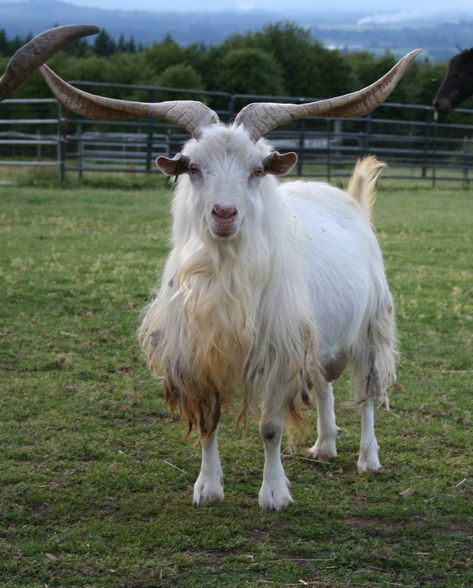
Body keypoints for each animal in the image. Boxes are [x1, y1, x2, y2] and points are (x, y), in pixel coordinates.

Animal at [0, 24, 420, 510]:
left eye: (257, 170)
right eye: (193, 167)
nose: (224, 213)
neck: (225, 279)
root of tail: (351, 200)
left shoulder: (275, 354)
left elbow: (270, 427)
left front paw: (274, 494)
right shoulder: (198, 356)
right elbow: (207, 423)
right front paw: (208, 488)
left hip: (372, 327)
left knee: (368, 394)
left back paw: (368, 459)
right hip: (317, 332)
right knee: (324, 382)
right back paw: (325, 445)